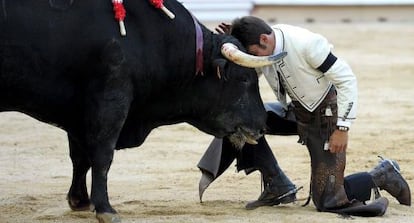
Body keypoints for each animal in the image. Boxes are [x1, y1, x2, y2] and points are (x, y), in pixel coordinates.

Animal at [0, 0, 268, 222]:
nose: (262, 125)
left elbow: (80, 157)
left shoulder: (78, 110)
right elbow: (102, 155)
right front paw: (105, 209)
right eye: (244, 78)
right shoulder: (110, 99)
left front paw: (80, 201)